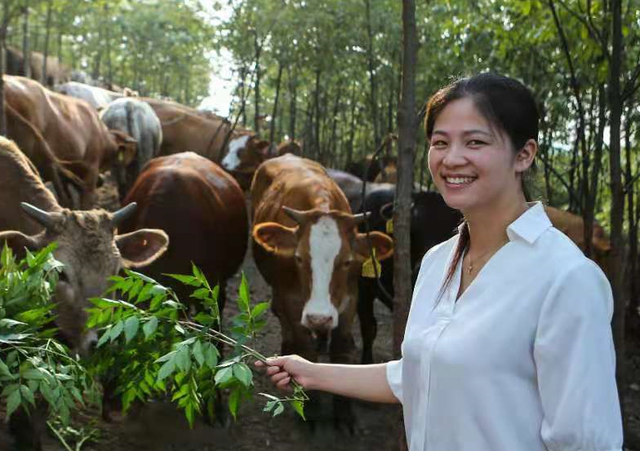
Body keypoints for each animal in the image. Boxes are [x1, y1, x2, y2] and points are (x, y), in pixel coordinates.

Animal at [251, 155, 392, 430]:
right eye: (298, 258)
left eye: (347, 262)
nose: (318, 317)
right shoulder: (292, 300)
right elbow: (305, 350)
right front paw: (311, 409)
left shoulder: (349, 300)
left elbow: (341, 348)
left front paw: (344, 415)